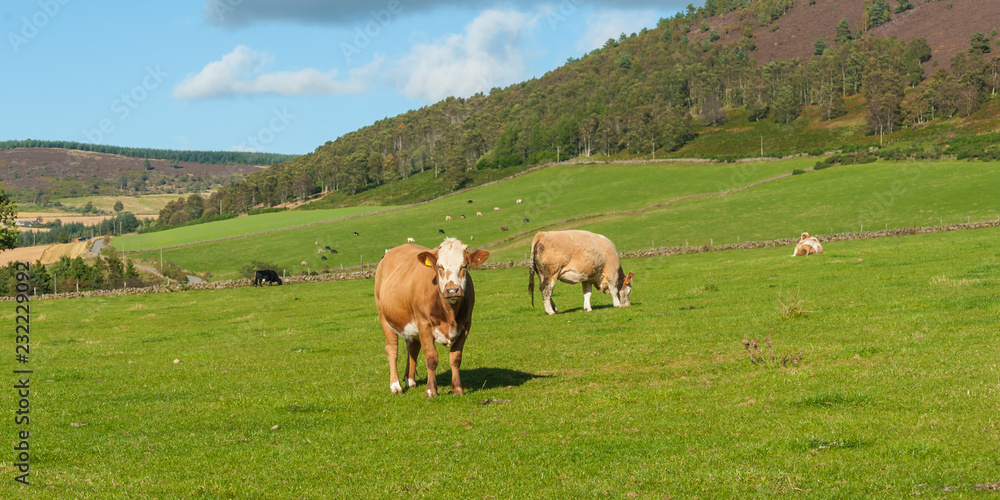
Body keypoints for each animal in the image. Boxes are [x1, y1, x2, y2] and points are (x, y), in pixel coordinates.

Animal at [374, 238, 490, 397]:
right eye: (440, 267)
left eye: (464, 266)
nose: (452, 290)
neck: (449, 313)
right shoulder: (424, 324)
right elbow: (431, 358)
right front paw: (431, 390)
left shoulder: (466, 325)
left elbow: (455, 358)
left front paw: (457, 389)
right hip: (385, 318)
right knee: (392, 349)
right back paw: (395, 385)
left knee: (413, 348)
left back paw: (410, 380)